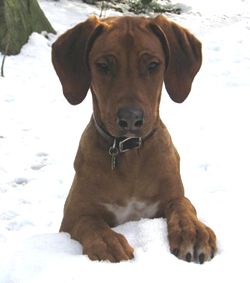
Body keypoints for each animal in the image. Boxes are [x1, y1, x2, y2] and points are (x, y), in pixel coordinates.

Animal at [51, 15, 217, 264]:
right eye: (103, 66)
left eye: (153, 65)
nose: (130, 118)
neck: (130, 155)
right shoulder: (72, 215)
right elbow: (89, 221)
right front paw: (108, 242)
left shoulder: (171, 194)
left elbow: (183, 203)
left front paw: (194, 231)